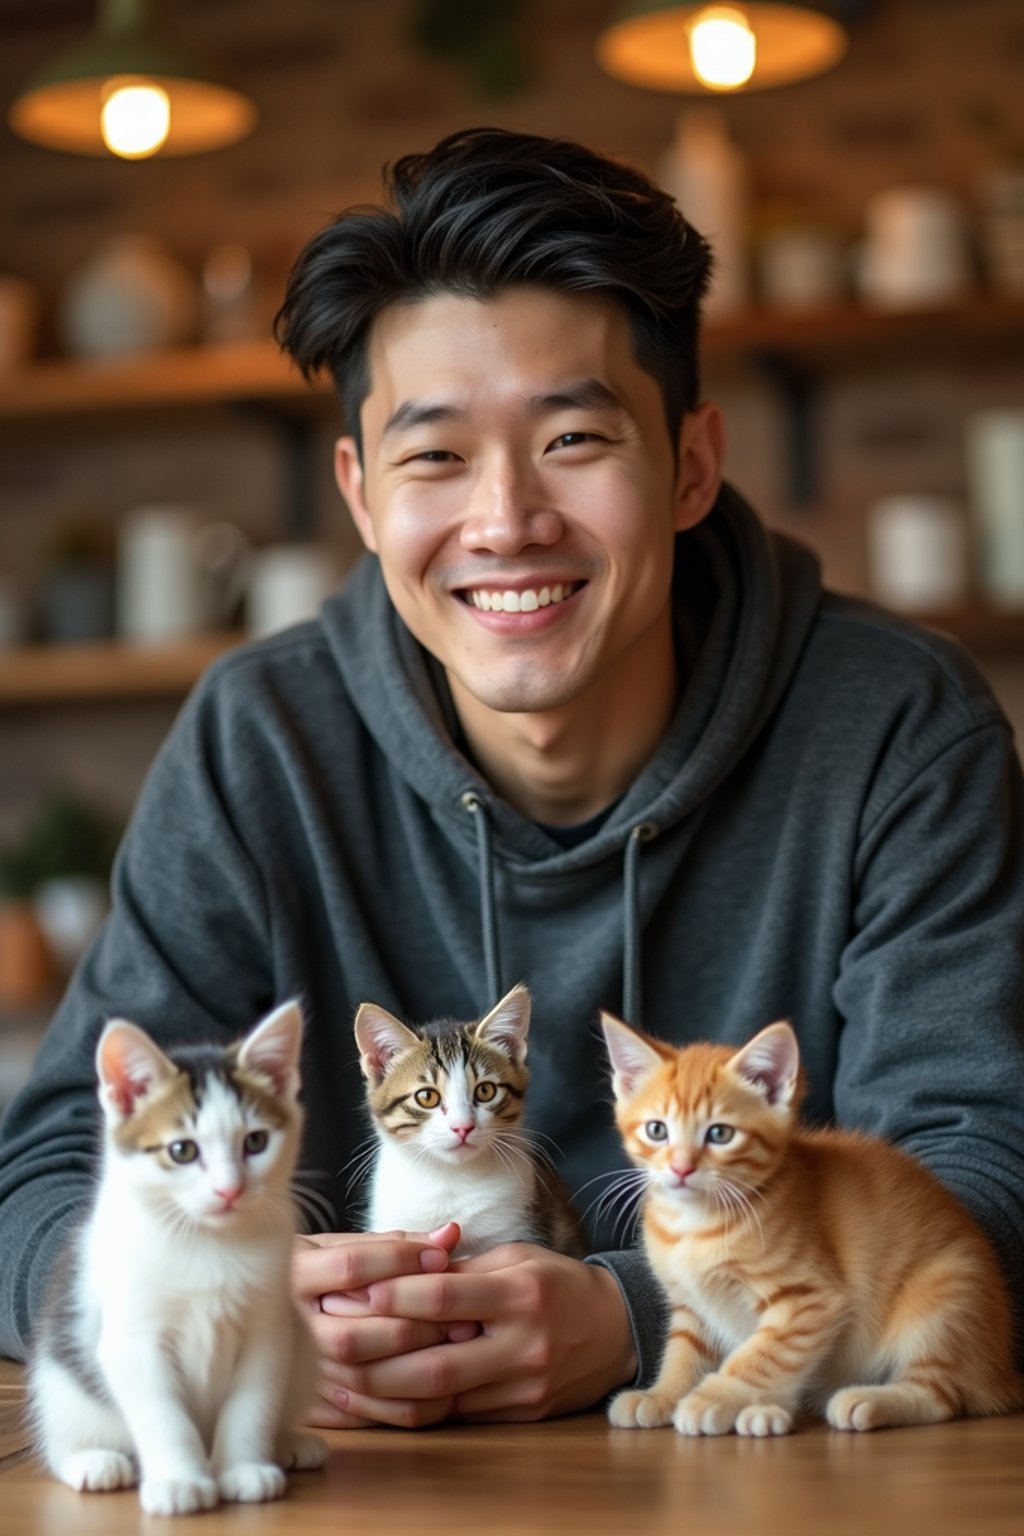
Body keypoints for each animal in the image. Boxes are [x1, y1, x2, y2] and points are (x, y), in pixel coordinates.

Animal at [28, 1001, 327, 1517]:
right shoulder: (132, 1340)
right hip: (57, 1378)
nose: (229, 1189)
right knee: (62, 1433)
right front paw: (179, 1481)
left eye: (255, 1142)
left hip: (302, 1349)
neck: (207, 1243)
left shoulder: (269, 1332)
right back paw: (92, 1460)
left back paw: (289, 1442)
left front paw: (243, 1468)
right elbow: (162, 1413)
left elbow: (252, 1403)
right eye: (182, 1150)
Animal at [595, 1013, 1019, 1431]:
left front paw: (711, 1399)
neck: (695, 1224)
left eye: (720, 1133)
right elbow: (684, 1352)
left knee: (941, 1396)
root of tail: (1002, 1373)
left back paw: (865, 1400)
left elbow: (761, 1355)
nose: (681, 1169)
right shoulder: (693, 1306)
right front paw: (663, 1395)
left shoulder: (809, 1298)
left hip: (945, 1300)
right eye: (657, 1130)